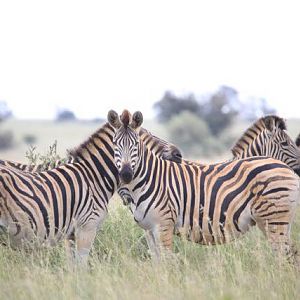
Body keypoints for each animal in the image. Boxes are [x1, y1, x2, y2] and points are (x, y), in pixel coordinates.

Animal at [108, 110, 300, 262]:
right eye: (285, 144)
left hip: (275, 219)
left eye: (135, 145)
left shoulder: (164, 226)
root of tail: (286, 169)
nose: (125, 175)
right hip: (280, 221)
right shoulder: (150, 230)